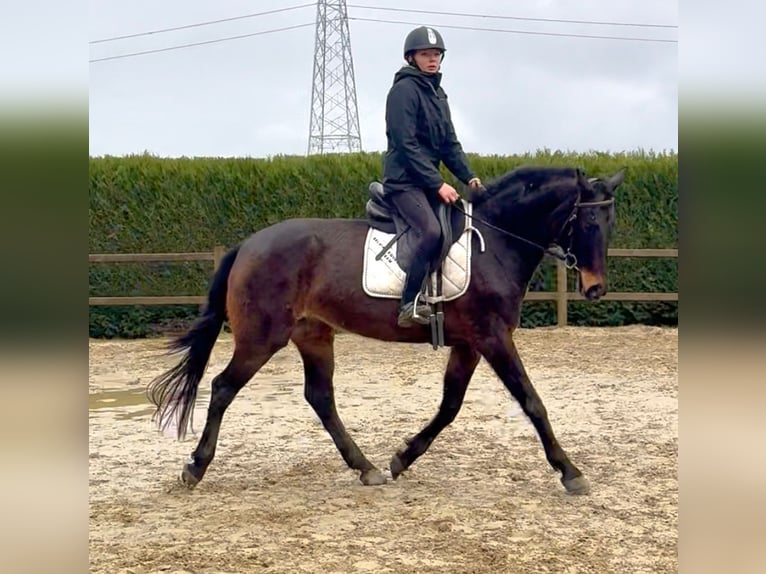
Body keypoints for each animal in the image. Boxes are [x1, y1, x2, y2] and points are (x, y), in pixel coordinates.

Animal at [147, 165, 625, 495]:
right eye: (586, 223)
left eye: (610, 223)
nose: (595, 289)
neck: (495, 242)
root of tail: (247, 244)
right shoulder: (492, 337)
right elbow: (531, 401)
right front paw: (570, 472)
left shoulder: (469, 344)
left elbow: (450, 405)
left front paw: (402, 458)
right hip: (262, 338)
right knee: (223, 387)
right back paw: (195, 467)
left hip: (314, 335)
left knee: (320, 397)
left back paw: (367, 468)